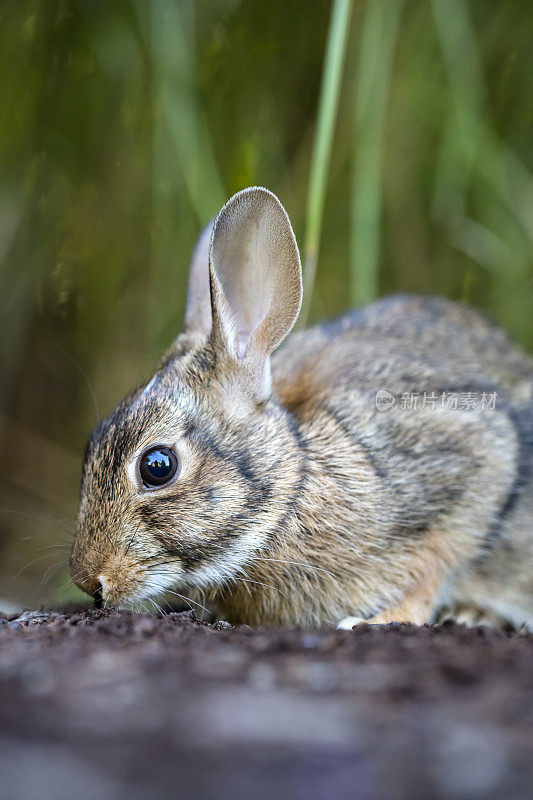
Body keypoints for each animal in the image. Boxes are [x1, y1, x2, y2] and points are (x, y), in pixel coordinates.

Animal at [70, 188, 532, 632]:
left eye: (158, 466)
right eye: (92, 446)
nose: (89, 581)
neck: (294, 482)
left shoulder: (477, 456)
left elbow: (432, 568)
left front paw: (373, 621)